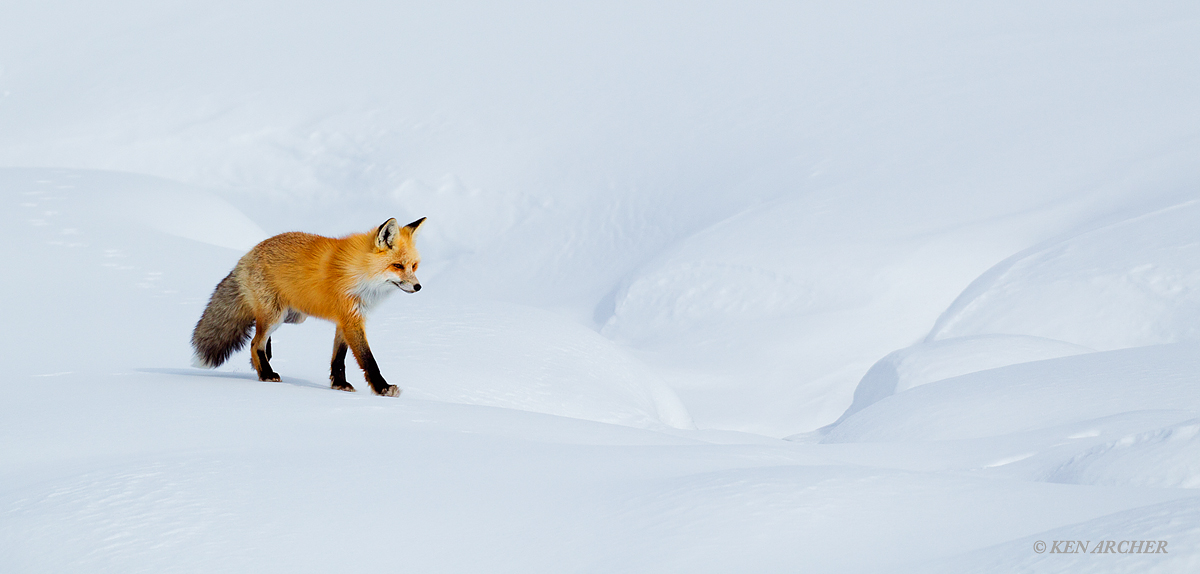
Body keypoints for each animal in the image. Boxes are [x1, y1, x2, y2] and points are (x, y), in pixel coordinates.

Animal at [191, 217, 426, 396]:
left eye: (414, 266)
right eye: (397, 266)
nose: (418, 286)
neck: (360, 272)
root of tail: (248, 254)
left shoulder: (346, 319)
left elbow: (338, 358)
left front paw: (339, 384)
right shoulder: (351, 320)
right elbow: (368, 360)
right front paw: (383, 388)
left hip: (293, 315)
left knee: (259, 336)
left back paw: (264, 360)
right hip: (276, 315)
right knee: (255, 342)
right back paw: (266, 374)